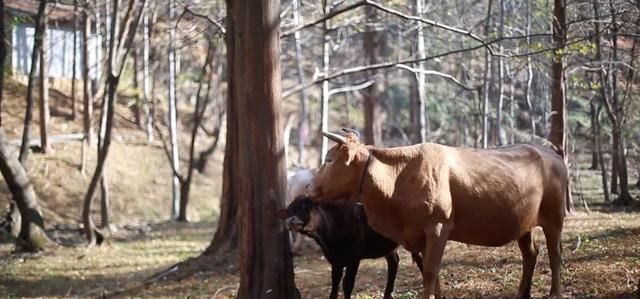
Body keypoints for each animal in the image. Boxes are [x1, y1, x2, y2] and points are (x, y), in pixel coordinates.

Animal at [278, 197, 420, 299]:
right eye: (289, 210)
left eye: (306, 206)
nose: (291, 220)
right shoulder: (335, 260)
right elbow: (335, 284)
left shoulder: (354, 259)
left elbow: (347, 284)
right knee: (394, 262)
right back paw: (387, 295)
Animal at [308, 132, 568, 299]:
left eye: (328, 159)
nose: (308, 187)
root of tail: (551, 152)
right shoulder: (418, 236)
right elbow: (429, 271)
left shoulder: (438, 227)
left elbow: (431, 270)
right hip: (523, 223)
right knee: (530, 254)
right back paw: (522, 293)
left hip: (554, 217)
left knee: (554, 252)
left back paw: (555, 293)